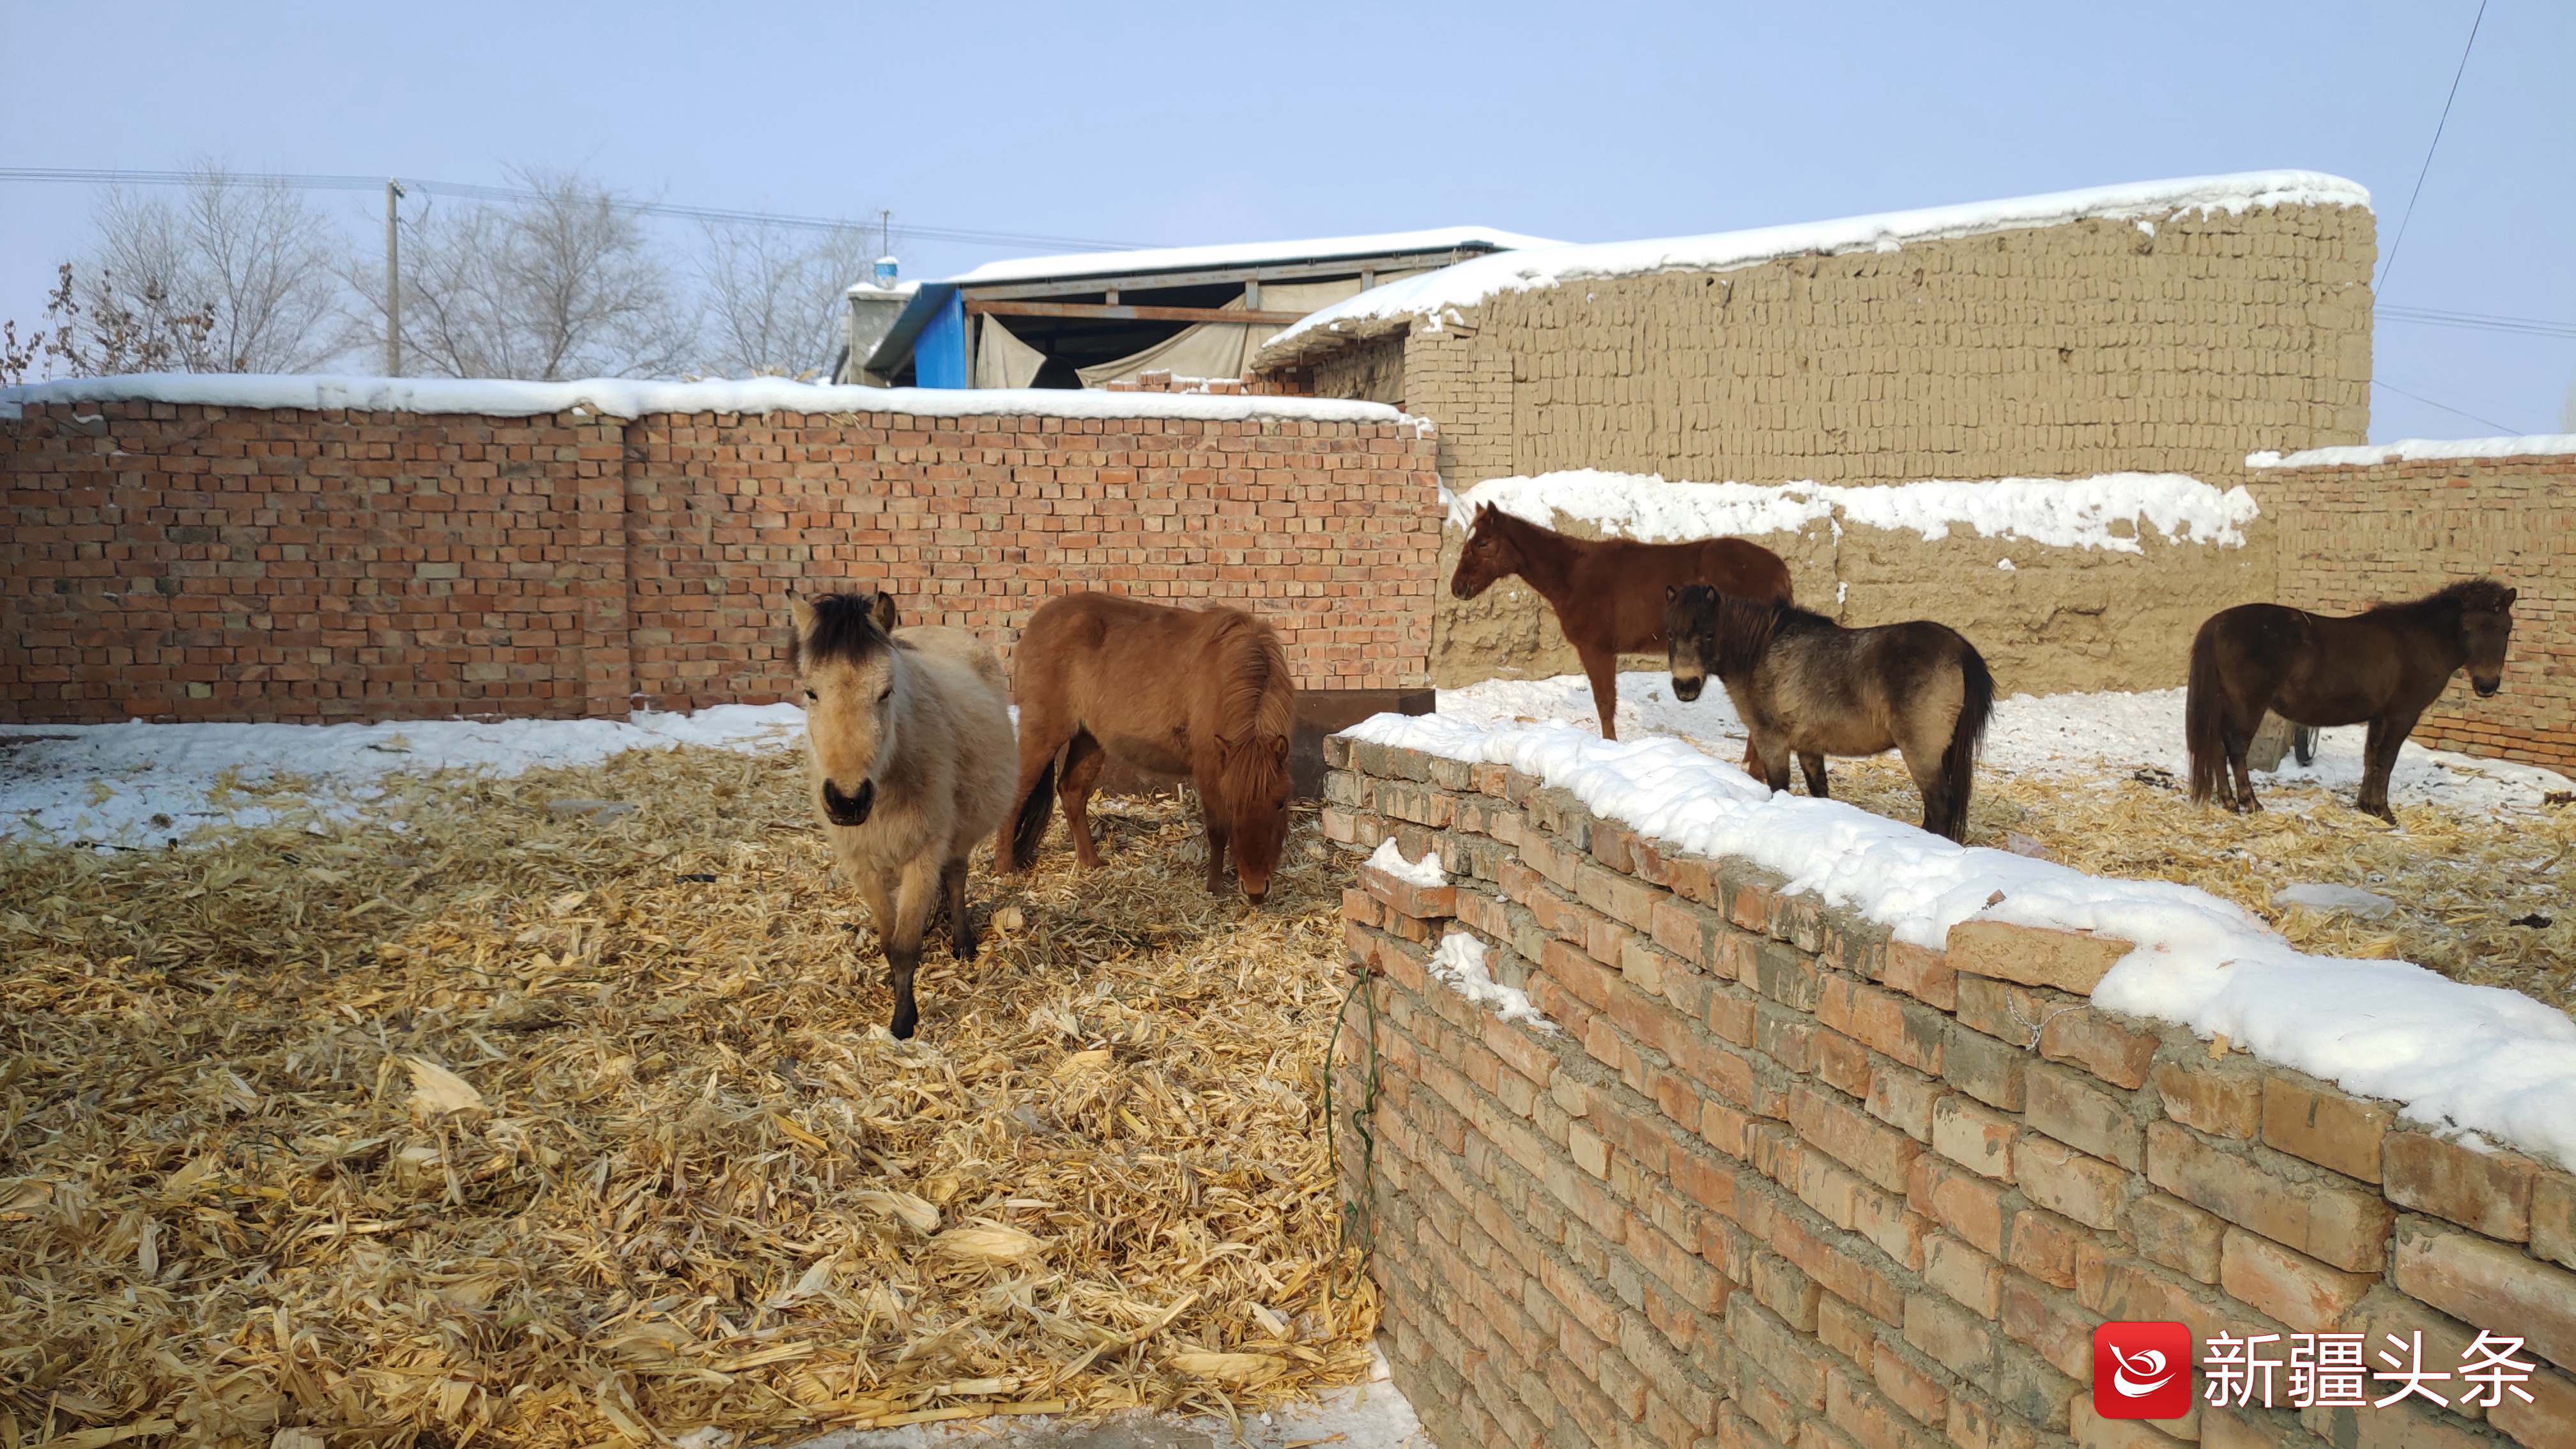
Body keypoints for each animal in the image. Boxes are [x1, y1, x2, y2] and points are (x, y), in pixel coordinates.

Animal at [793, 590, 1015, 1036]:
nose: (847, 800)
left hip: (959, 836)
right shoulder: (862, 865)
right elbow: (887, 938)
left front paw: (903, 1023)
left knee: (956, 877)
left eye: (885, 692)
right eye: (811, 692)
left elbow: (905, 946)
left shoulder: (923, 857)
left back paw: (962, 942)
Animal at [999, 593, 1298, 897]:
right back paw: (1003, 871)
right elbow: (1217, 830)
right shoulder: (1209, 768)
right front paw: (1214, 887)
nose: (1256, 891)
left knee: (1072, 792)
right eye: (1233, 804)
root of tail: (1036, 624)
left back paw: (1091, 862)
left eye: (1280, 803)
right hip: (1043, 735)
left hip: (1089, 739)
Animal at [1453, 500, 1793, 742]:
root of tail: (1779, 569)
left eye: (1482, 543)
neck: (1574, 575)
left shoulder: (1597, 651)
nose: (1457, 587)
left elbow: (1605, 704)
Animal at [1659, 580, 1998, 840]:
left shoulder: (1772, 742)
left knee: (1939, 803)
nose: (1685, 686)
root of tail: (1959, 648)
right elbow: (1819, 790)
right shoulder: (1809, 747)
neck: (1760, 653)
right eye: (1670, 634)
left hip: (1921, 752)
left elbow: (1779, 787)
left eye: (1709, 634)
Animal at [2184, 577, 2524, 825]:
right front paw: (2384, 812)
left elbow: (2371, 757)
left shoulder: (2380, 716)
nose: (2487, 685)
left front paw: (2366, 806)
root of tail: (2218, 623)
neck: (2421, 642)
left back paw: (2229, 802)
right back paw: (2250, 803)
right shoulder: (2402, 715)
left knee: (2217, 748)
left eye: (2507, 628)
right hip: (2246, 706)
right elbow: (2386, 760)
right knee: (2236, 749)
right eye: (2466, 628)